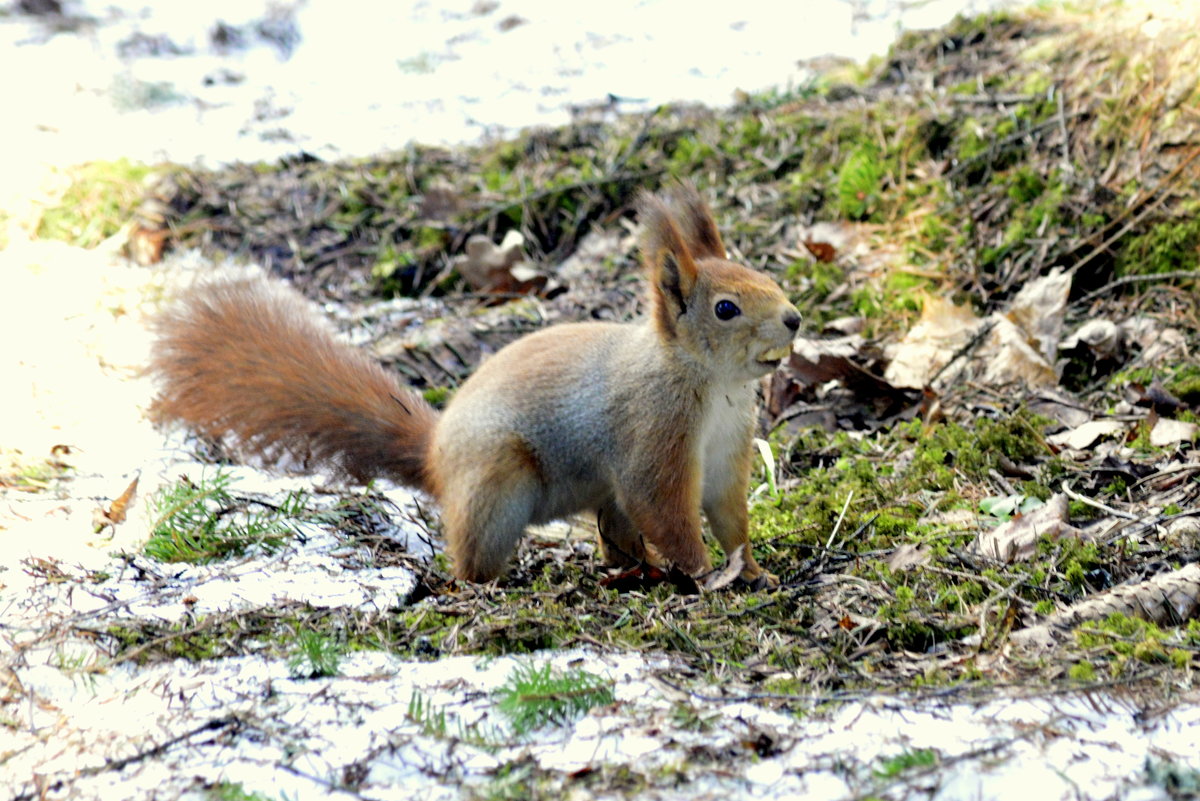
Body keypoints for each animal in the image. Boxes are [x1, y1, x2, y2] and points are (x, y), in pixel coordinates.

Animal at [152, 181, 806, 585]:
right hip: (498, 481)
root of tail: (436, 458)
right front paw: (705, 574)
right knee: (469, 561)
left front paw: (753, 572)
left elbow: (728, 513)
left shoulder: (727, 446)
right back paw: (488, 586)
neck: (713, 385)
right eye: (725, 308)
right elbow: (665, 507)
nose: (795, 318)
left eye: (765, 275)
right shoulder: (654, 429)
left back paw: (631, 572)